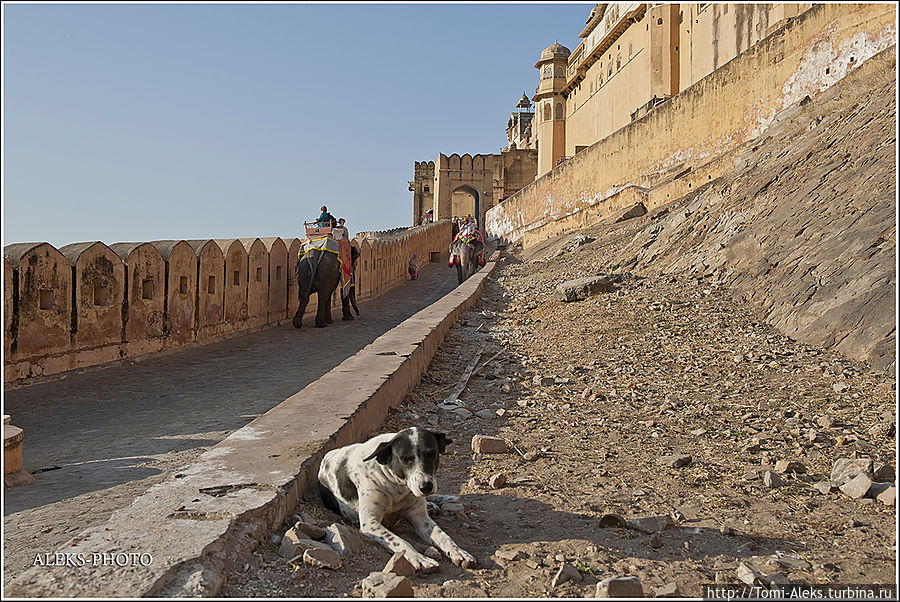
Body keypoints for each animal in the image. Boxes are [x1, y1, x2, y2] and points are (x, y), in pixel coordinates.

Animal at [314, 424, 474, 568]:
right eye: (405, 458)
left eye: (431, 454)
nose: (426, 487)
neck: (396, 486)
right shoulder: (370, 523)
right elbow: (400, 541)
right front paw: (419, 558)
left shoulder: (420, 518)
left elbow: (443, 536)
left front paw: (459, 551)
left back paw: (430, 505)